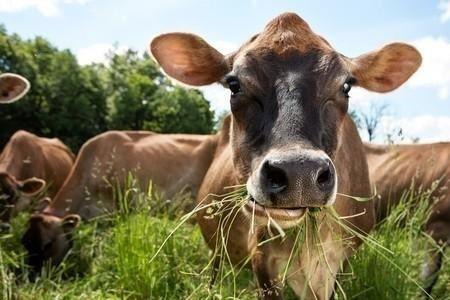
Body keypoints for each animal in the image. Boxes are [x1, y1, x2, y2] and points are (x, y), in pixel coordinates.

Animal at [151, 12, 422, 300]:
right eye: (234, 84)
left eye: (346, 86)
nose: (299, 172)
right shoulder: (261, 256)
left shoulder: (344, 259)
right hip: (215, 243)